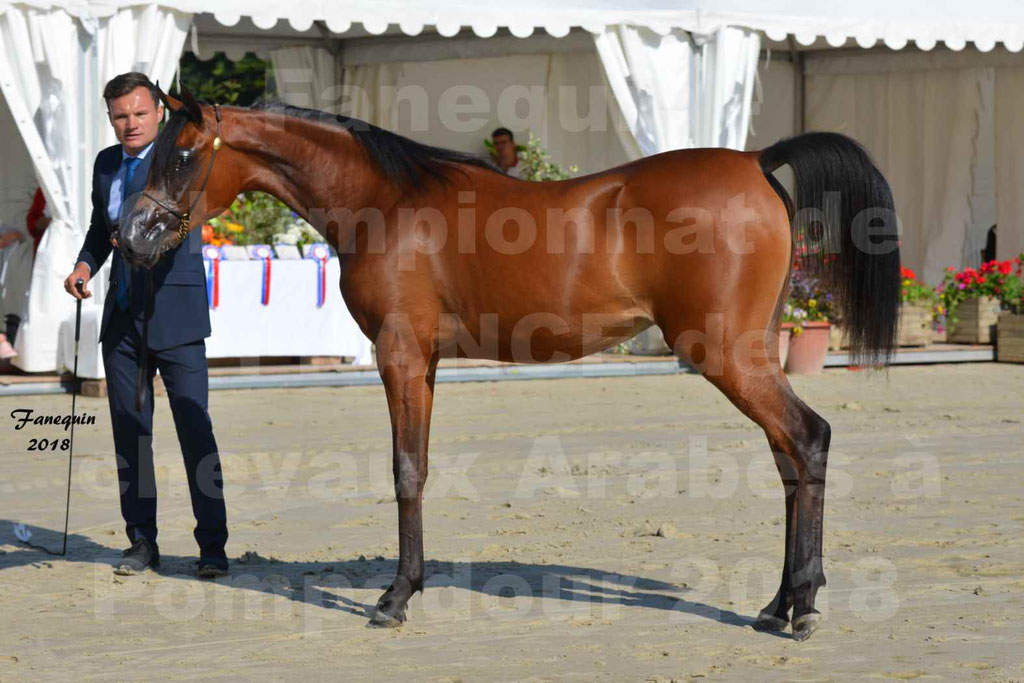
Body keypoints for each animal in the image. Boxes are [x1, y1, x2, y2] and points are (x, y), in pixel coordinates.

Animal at [119, 87, 901, 643]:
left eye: (181, 154)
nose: (131, 238)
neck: (385, 200)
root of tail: (756, 160)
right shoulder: (425, 362)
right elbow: (417, 466)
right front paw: (408, 585)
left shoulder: (400, 354)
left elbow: (406, 471)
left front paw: (394, 598)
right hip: (750, 354)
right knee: (789, 459)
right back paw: (777, 604)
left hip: (726, 355)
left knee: (809, 439)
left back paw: (803, 607)